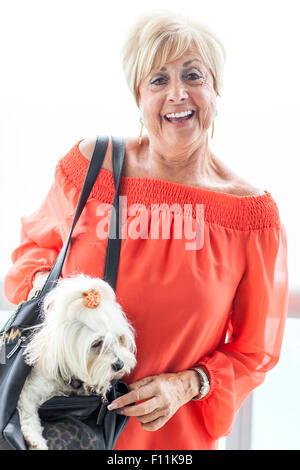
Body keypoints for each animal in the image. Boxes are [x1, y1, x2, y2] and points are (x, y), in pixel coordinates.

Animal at [17, 274, 137, 450]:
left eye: (119, 338)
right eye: (96, 343)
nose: (120, 365)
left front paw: (98, 386)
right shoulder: (30, 391)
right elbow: (27, 414)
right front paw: (35, 441)